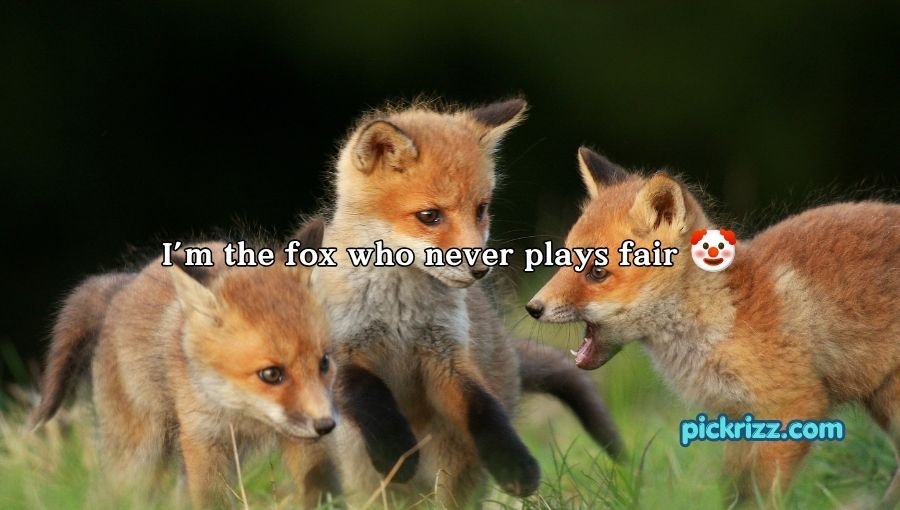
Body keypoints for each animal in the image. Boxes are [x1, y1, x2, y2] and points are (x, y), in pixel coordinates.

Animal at [31, 226, 337, 508]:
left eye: (324, 363)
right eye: (271, 374)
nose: (326, 425)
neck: (245, 415)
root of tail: (125, 285)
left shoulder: (304, 441)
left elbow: (321, 488)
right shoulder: (202, 438)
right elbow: (212, 500)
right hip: (138, 457)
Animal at [306, 99, 623, 508]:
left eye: (481, 209)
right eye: (429, 216)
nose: (480, 269)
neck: (399, 313)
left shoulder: (446, 356)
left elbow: (482, 409)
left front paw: (516, 466)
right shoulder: (341, 349)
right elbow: (368, 394)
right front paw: (396, 451)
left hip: (457, 468)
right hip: (364, 478)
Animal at [526, 146, 900, 504]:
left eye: (597, 272)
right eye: (564, 259)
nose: (532, 308)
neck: (723, 317)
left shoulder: (794, 405)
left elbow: (763, 492)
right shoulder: (737, 418)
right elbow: (732, 490)